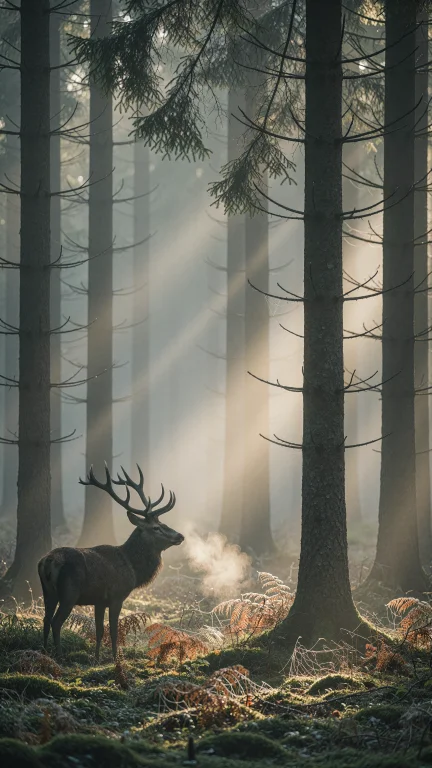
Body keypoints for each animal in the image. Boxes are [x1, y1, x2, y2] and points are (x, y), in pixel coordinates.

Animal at [38, 464, 184, 660]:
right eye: (156, 528)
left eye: (163, 523)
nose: (180, 536)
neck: (133, 569)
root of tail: (47, 561)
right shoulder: (117, 596)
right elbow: (114, 630)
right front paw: (116, 658)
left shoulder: (99, 600)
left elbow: (99, 630)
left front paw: (96, 657)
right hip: (69, 593)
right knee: (56, 622)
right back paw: (59, 656)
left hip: (48, 592)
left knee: (45, 620)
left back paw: (44, 652)